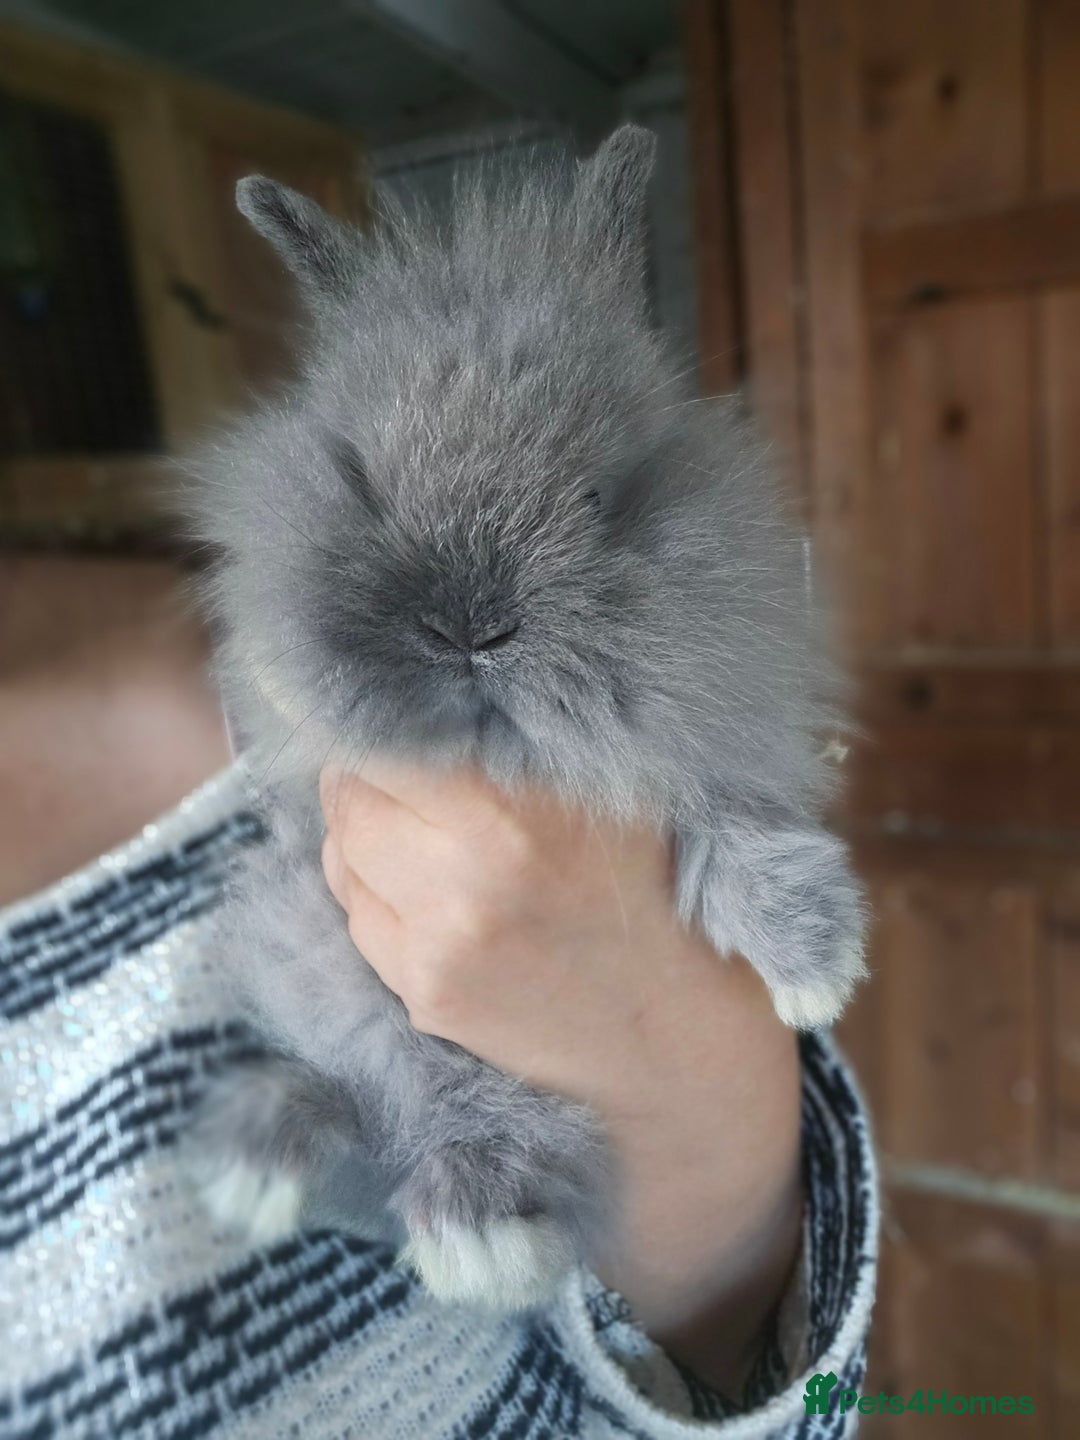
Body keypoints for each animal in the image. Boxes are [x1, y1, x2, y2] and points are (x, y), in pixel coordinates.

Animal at [184, 124, 867, 1311]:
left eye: (600, 494)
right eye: (361, 483)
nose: (470, 627)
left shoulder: (734, 740)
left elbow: (743, 830)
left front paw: (815, 977)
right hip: (310, 950)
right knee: (388, 1102)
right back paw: (383, 1194)